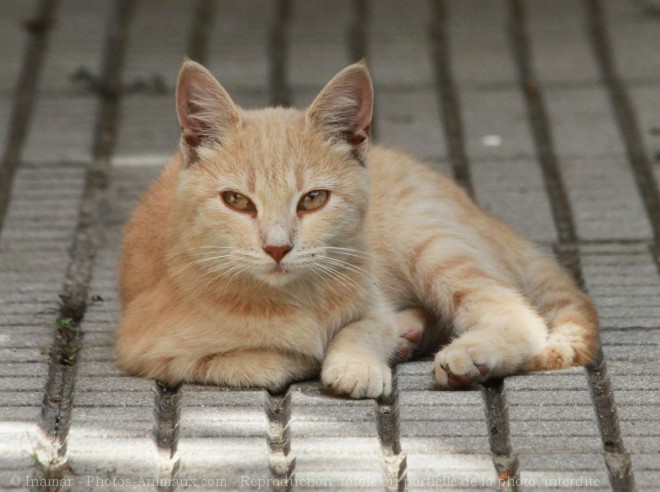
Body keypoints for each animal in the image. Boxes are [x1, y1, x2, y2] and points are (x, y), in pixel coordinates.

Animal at [114, 60, 600, 400]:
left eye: (313, 199)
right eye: (237, 201)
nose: (277, 248)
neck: (292, 299)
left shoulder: (372, 300)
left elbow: (362, 327)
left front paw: (355, 363)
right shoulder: (144, 349)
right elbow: (258, 362)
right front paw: (313, 354)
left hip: (429, 244)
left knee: (519, 316)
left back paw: (466, 353)